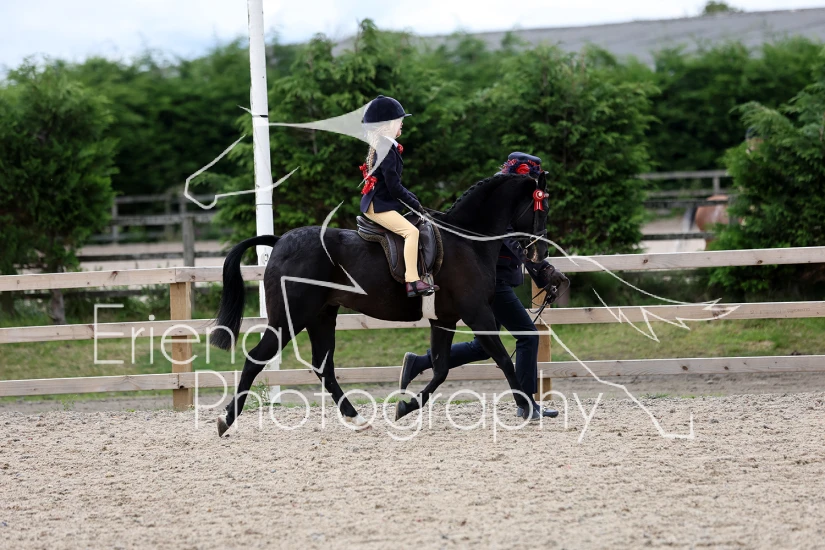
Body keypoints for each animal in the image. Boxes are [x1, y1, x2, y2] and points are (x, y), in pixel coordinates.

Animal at [210, 172, 551, 436]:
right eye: (543, 206)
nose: (541, 253)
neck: (467, 240)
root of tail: (280, 240)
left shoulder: (444, 319)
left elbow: (441, 368)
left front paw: (405, 406)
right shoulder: (477, 314)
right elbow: (503, 360)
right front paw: (530, 407)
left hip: (322, 316)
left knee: (324, 366)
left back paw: (357, 419)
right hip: (290, 317)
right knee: (256, 359)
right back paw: (226, 420)